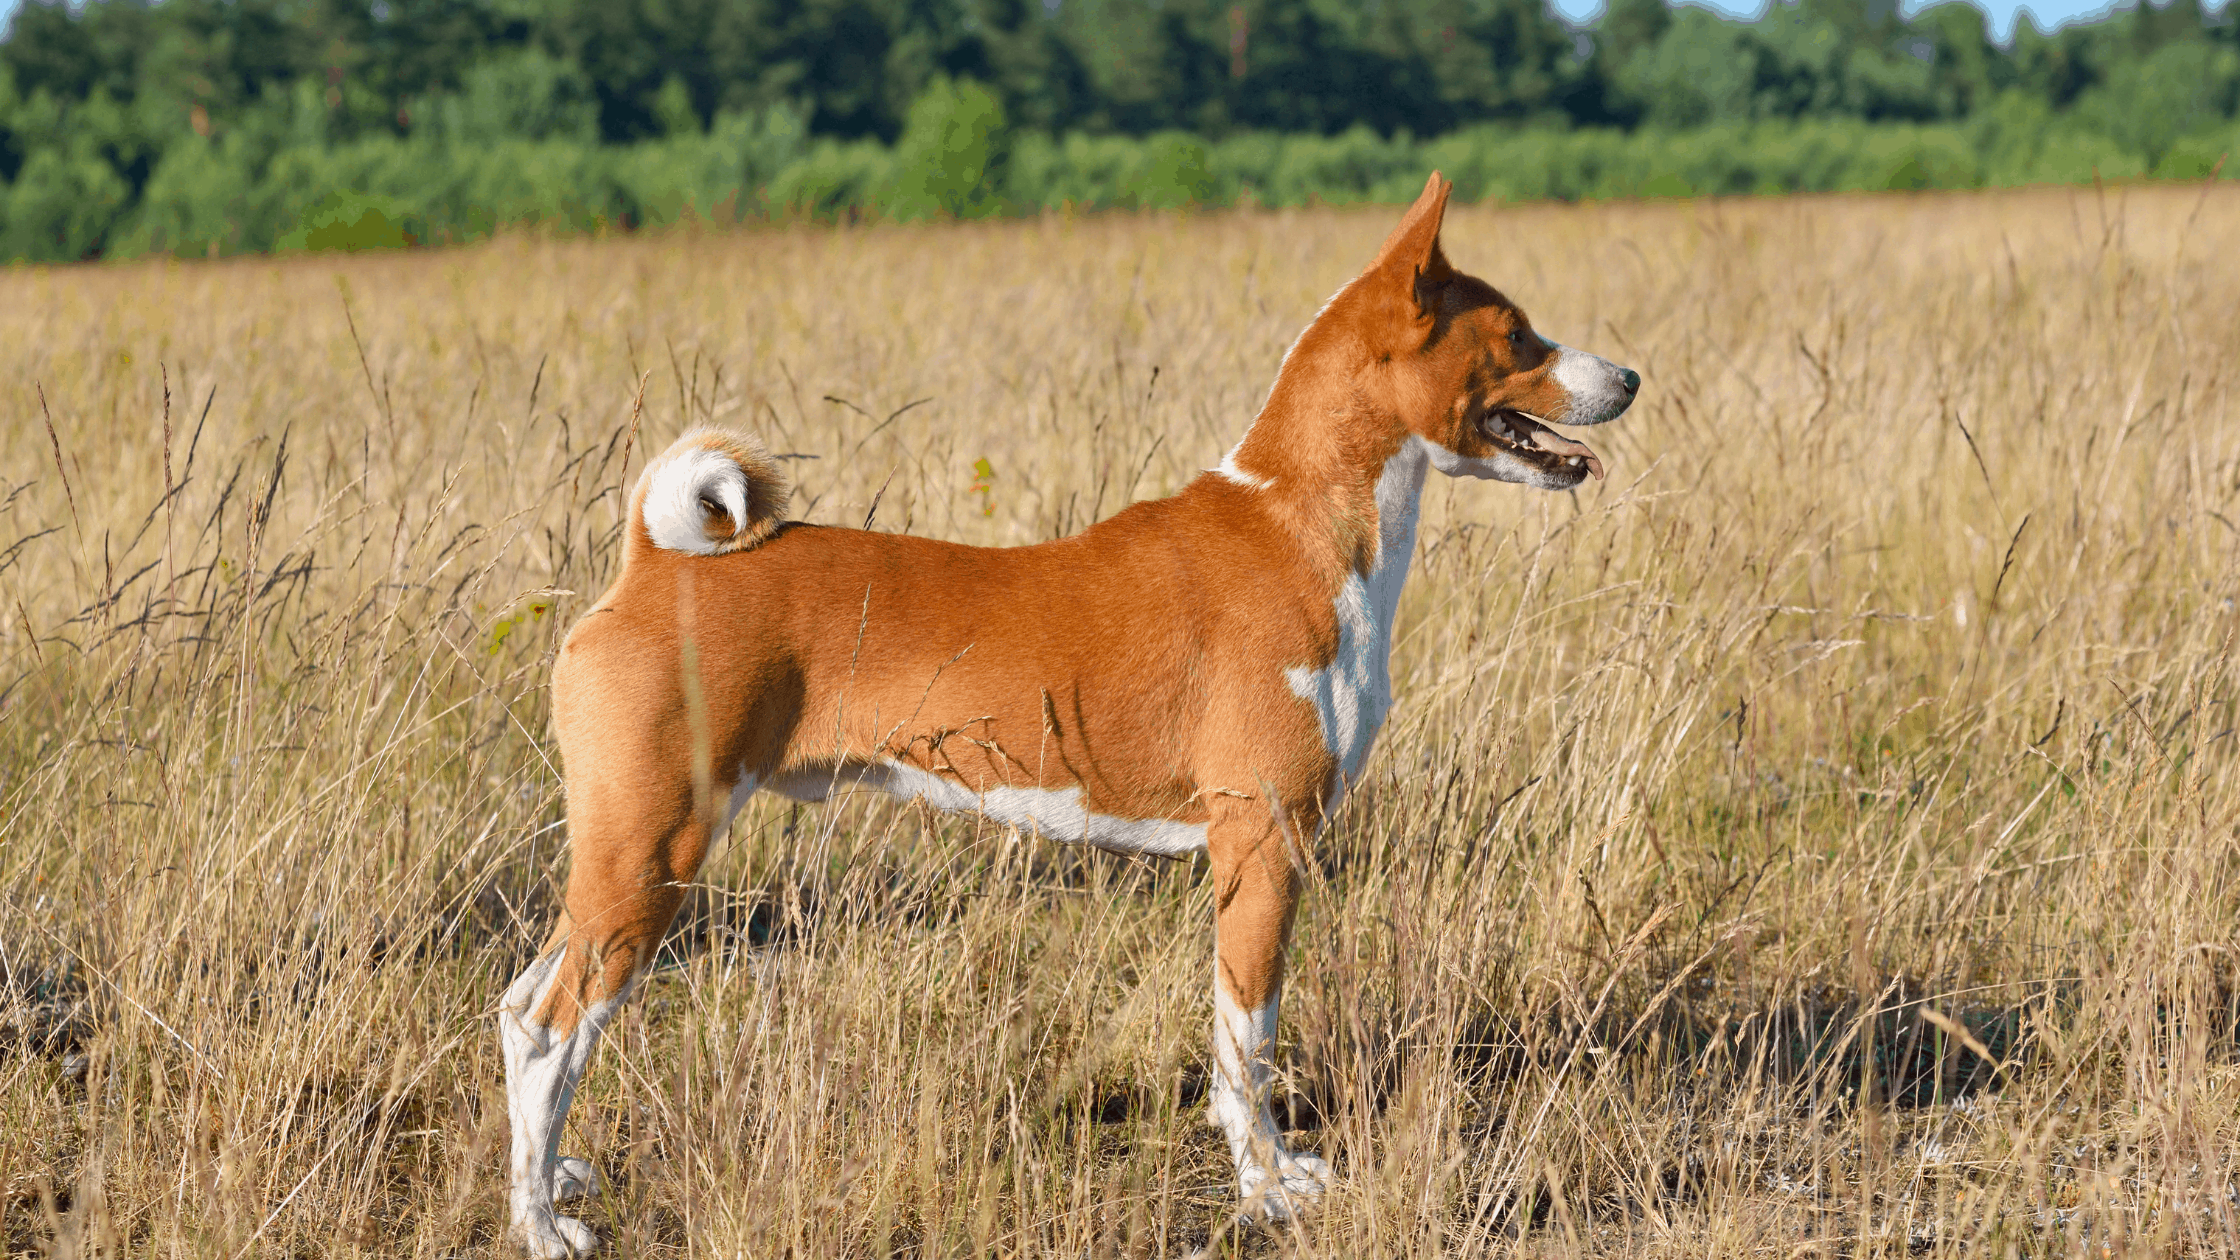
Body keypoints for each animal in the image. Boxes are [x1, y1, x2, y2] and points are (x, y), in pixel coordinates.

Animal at [504, 173, 1630, 1246]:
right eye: (1519, 336)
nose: (1628, 378)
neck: (1300, 524)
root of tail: (651, 564)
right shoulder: (1260, 842)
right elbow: (1247, 1048)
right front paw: (1266, 1190)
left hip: (620, 857)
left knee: (522, 1009)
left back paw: (551, 1180)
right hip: (655, 848)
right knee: (553, 1029)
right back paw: (542, 1228)